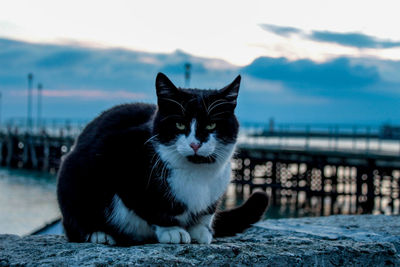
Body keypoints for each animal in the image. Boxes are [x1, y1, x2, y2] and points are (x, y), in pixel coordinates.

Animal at [56, 73, 268, 247]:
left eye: (211, 125)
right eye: (179, 124)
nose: (195, 144)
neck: (196, 171)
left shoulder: (217, 186)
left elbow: (205, 213)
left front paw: (200, 230)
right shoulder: (116, 153)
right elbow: (150, 206)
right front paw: (172, 230)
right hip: (72, 177)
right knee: (74, 223)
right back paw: (99, 234)